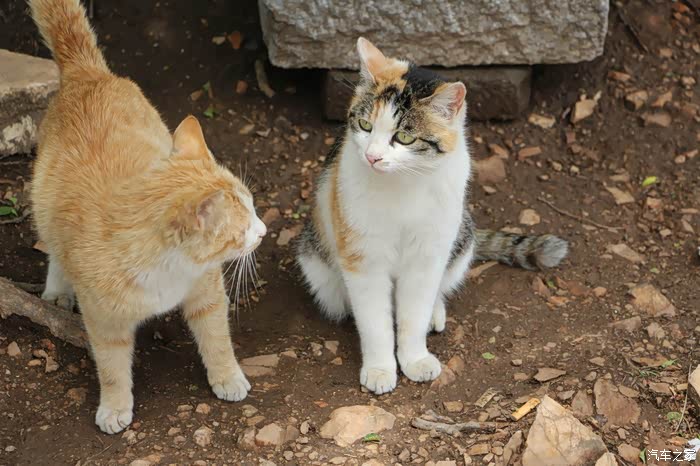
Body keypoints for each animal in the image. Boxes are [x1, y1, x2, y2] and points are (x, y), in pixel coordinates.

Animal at [29, 0, 267, 434]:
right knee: (53, 247)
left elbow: (217, 340)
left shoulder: (207, 293)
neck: (165, 268)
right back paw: (57, 288)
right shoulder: (104, 323)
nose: (264, 230)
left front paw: (227, 377)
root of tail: (87, 73)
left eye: (255, 207)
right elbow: (111, 369)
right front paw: (114, 407)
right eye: (242, 228)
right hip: (41, 203)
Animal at [297, 38, 568, 395]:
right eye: (365, 125)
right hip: (316, 261)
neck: (403, 185)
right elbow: (375, 321)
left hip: (461, 238)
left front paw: (415, 359)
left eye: (405, 137)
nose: (372, 156)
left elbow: (415, 311)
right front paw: (380, 369)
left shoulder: (429, 253)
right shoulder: (363, 256)